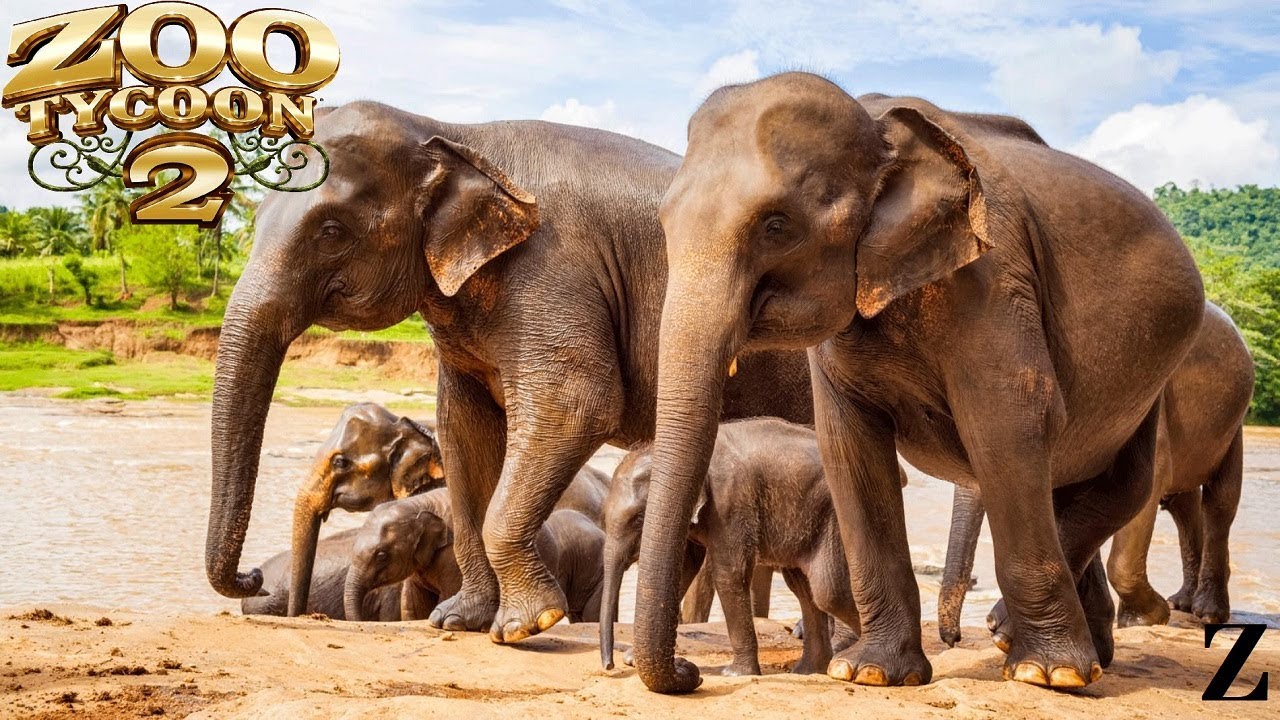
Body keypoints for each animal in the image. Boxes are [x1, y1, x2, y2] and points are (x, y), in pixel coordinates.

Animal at [602, 418, 861, 676]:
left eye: (638, 518)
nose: (609, 665)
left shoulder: (731, 502)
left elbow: (729, 573)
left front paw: (735, 674)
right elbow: (684, 566)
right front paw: (632, 659)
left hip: (835, 519)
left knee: (829, 589)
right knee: (803, 587)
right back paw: (806, 671)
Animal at [634, 72, 1205, 692]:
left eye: (777, 226)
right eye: (663, 224)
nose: (692, 671)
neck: (876, 121)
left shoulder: (993, 275)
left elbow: (1009, 422)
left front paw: (1044, 673)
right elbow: (851, 448)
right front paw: (870, 673)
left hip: (1153, 374)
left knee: (1121, 483)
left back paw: (1035, 650)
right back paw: (1081, 652)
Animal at [937, 302, 1253, 645]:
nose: (954, 640)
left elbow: (1144, 486)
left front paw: (1145, 618)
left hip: (1234, 424)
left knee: (1219, 502)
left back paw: (1207, 612)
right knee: (1183, 504)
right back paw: (1181, 603)